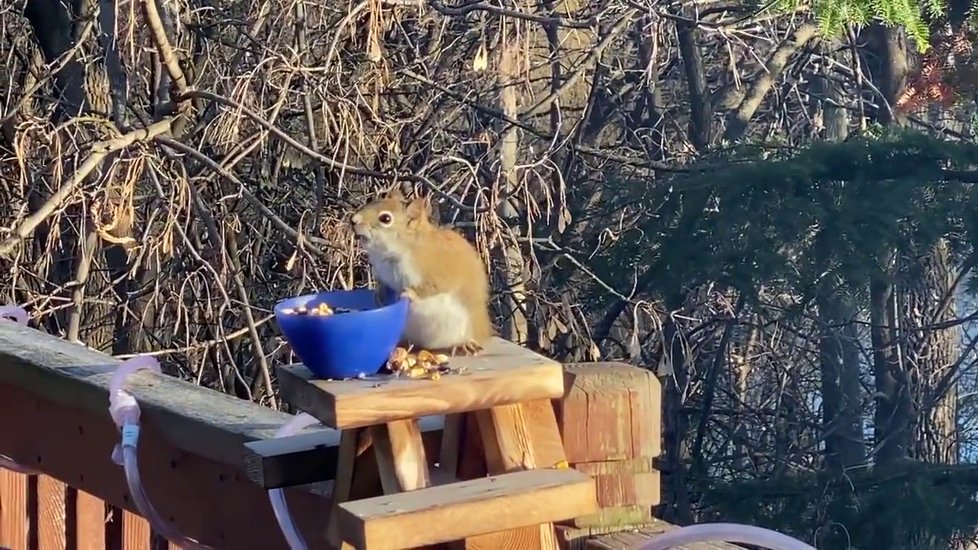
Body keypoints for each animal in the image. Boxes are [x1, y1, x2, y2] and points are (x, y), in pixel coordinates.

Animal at [348, 188, 492, 356]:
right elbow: (384, 284)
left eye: (385, 218)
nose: (353, 220)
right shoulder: (383, 273)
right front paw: (380, 294)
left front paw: (409, 294)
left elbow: (431, 287)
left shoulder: (439, 272)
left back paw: (464, 344)